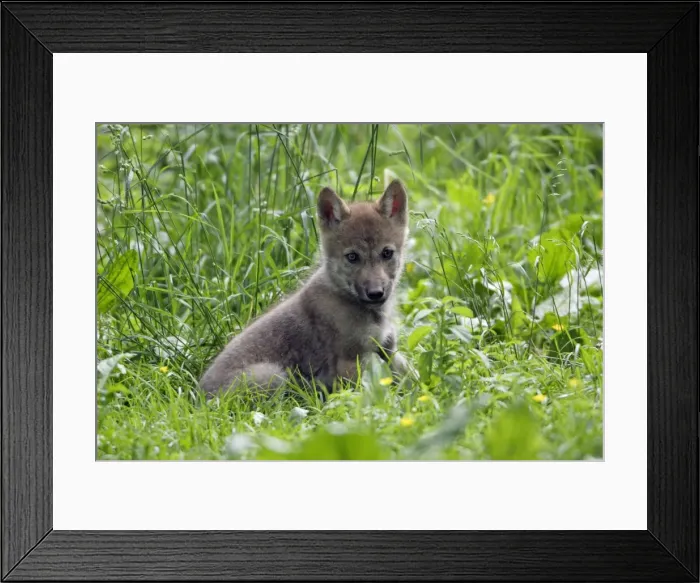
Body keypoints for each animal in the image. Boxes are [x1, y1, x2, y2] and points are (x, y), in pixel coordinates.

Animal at [199, 179, 412, 395]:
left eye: (387, 253)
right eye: (352, 257)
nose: (376, 293)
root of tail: (199, 395)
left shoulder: (389, 348)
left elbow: (410, 376)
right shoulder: (350, 361)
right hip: (273, 376)